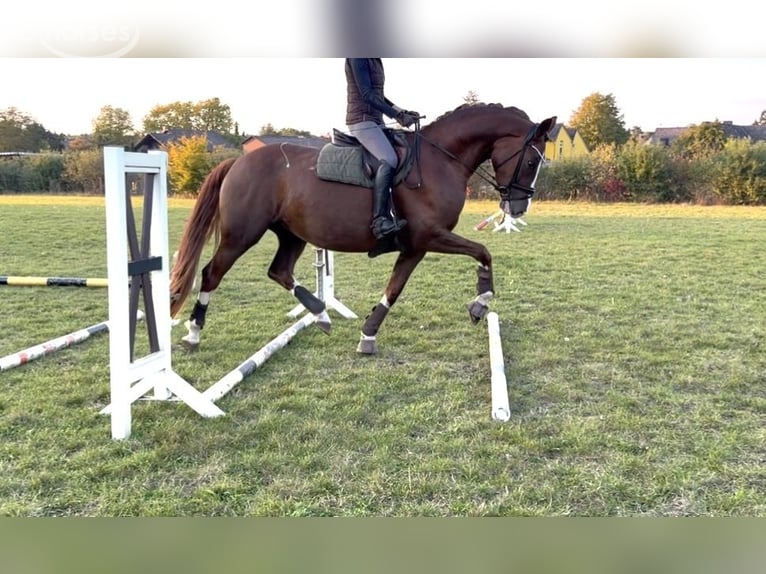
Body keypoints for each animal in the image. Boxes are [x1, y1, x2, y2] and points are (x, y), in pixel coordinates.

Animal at [169, 103, 557, 355]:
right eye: (532, 161)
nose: (518, 208)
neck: (440, 160)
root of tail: (237, 161)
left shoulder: (415, 247)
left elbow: (394, 289)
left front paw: (368, 334)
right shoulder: (429, 236)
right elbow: (483, 251)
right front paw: (480, 303)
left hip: (291, 235)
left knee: (279, 271)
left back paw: (321, 314)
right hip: (241, 235)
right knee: (211, 274)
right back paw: (193, 333)